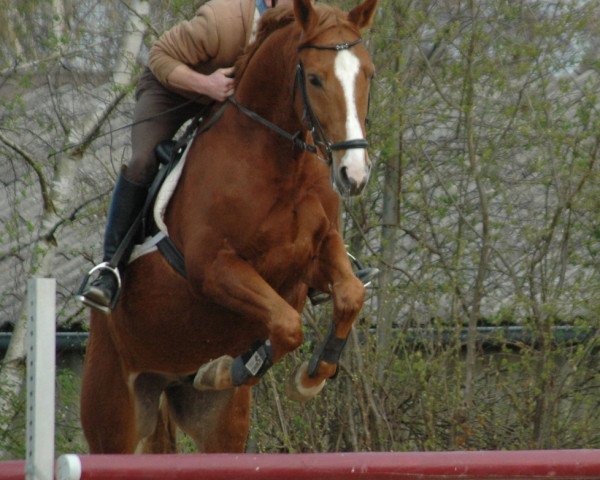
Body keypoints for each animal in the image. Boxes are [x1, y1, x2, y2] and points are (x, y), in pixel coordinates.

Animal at [81, 0, 376, 452]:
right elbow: (287, 325)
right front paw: (228, 369)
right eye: (314, 78)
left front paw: (309, 378)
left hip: (218, 424)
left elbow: (349, 296)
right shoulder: (214, 268)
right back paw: (105, 287)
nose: (354, 175)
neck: (280, 162)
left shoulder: (319, 252)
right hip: (114, 415)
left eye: (369, 74)